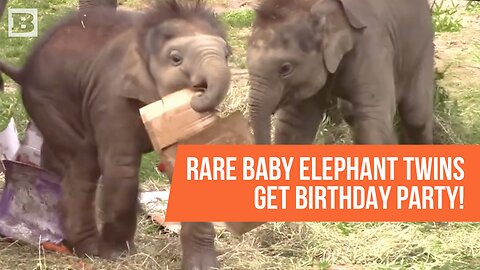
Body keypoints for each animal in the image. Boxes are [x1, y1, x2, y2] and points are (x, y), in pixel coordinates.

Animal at [0, 1, 232, 268]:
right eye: (176, 59)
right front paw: (118, 254)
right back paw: (88, 248)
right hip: (45, 99)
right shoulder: (112, 98)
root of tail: (25, 69)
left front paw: (204, 265)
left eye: (228, 55)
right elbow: (121, 168)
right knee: (84, 161)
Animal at [248, 0, 436, 146]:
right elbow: (295, 123)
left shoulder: (372, 47)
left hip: (423, 48)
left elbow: (372, 118)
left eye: (285, 68)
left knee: (416, 115)